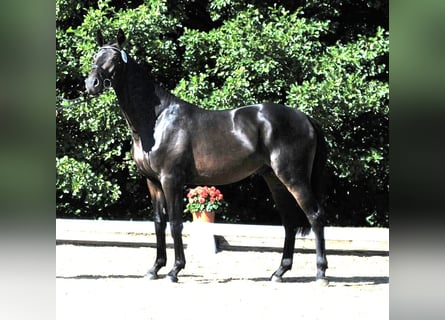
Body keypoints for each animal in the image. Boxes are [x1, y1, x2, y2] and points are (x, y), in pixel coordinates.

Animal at [85, 29, 328, 284]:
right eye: (95, 55)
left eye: (114, 59)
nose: (91, 84)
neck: (158, 120)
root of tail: (306, 118)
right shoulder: (153, 182)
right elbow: (159, 223)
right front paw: (154, 269)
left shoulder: (171, 180)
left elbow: (175, 223)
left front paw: (174, 271)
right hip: (274, 179)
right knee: (289, 223)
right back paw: (279, 272)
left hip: (294, 177)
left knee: (315, 216)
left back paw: (320, 273)